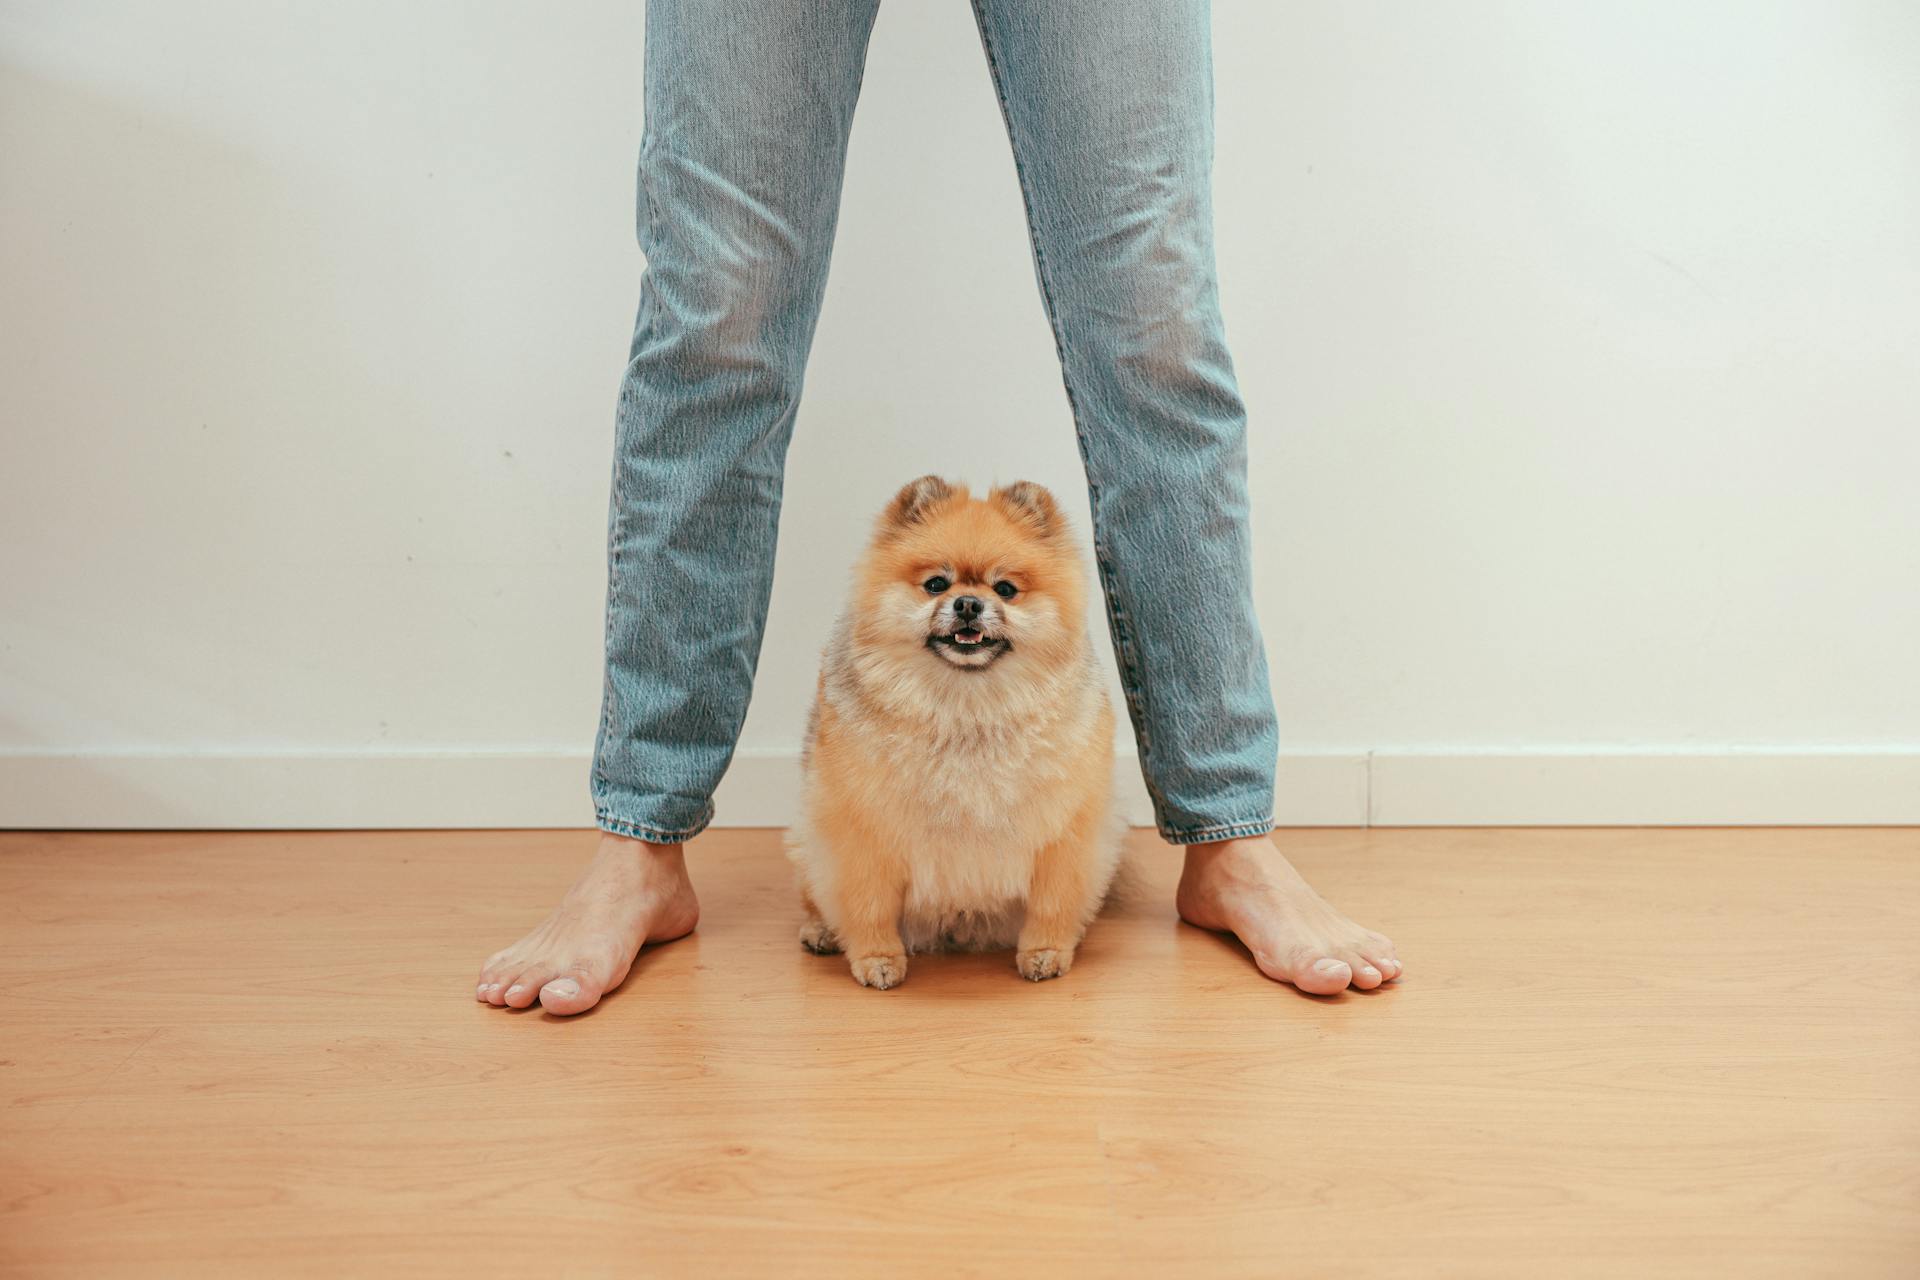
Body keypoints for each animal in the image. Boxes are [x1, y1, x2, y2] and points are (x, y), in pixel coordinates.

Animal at [787, 475, 1128, 990]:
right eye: (935, 585)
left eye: (1005, 589)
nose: (968, 602)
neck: (967, 709)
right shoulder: (861, 829)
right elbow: (868, 903)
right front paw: (877, 958)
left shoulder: (1063, 831)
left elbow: (1053, 902)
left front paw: (1045, 952)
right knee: (816, 891)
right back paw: (822, 930)